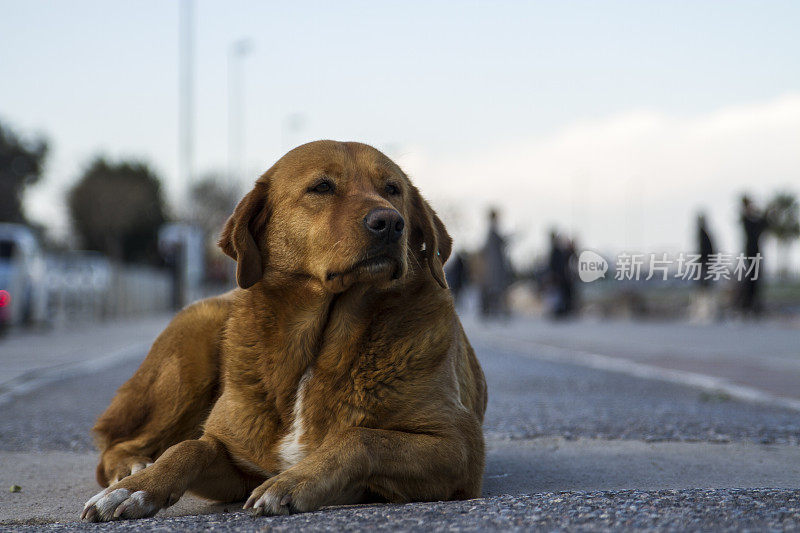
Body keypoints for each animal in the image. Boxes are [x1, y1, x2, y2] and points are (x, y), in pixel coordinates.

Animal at [81, 140, 488, 520]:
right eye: (322, 187)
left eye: (393, 189)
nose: (390, 223)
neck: (319, 343)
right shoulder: (237, 460)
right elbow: (191, 446)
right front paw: (140, 487)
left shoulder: (459, 445)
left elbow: (360, 438)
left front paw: (293, 482)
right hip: (189, 354)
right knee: (118, 443)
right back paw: (130, 470)